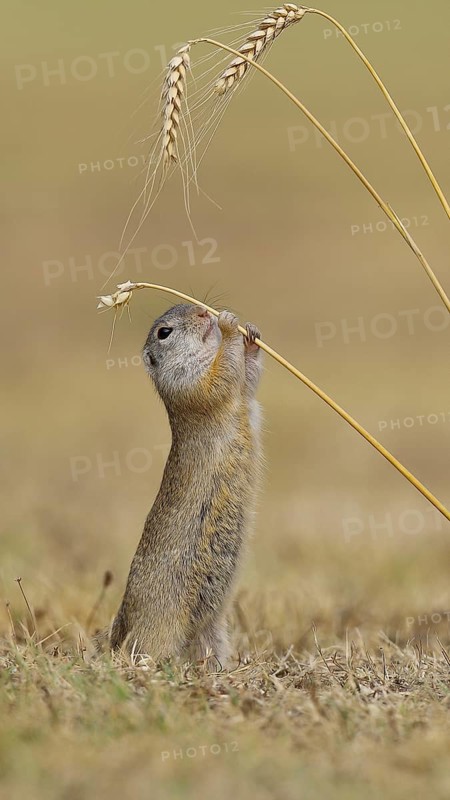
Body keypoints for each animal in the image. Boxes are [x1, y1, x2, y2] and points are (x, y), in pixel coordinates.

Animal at [109, 303, 263, 666]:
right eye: (164, 332)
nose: (204, 313)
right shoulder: (189, 381)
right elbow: (220, 376)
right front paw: (230, 327)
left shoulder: (238, 389)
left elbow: (247, 380)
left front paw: (251, 336)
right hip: (161, 627)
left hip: (212, 631)